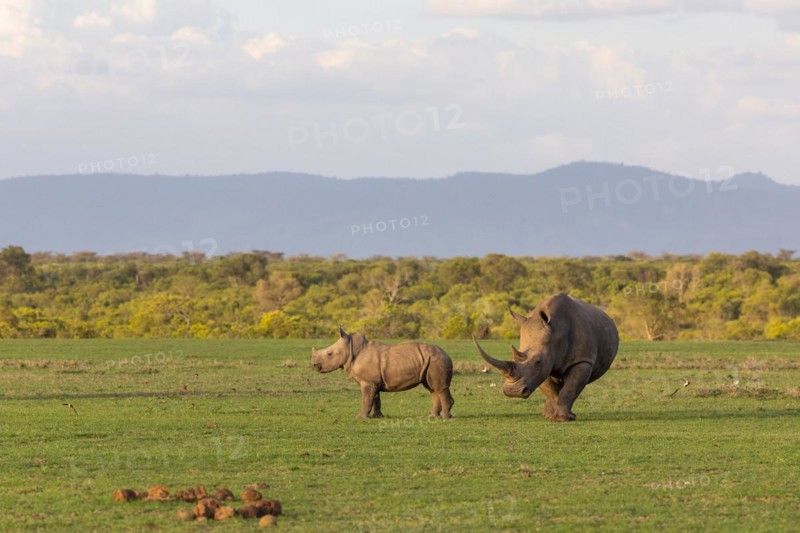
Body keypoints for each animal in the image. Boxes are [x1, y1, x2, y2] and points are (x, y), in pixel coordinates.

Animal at [311, 327, 454, 419]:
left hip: (437, 360)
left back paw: (444, 418)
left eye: (329, 354)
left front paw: (360, 418)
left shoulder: (368, 382)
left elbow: (366, 399)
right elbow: (375, 399)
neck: (351, 350)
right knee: (432, 388)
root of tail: (447, 354)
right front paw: (377, 417)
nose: (314, 365)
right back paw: (432, 416)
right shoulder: (373, 381)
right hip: (430, 361)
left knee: (439, 388)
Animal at [473, 294, 618, 421]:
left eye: (538, 361)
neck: (557, 331)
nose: (513, 391)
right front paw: (553, 416)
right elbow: (551, 389)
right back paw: (546, 414)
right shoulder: (545, 365)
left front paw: (562, 418)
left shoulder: (582, 361)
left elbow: (570, 388)